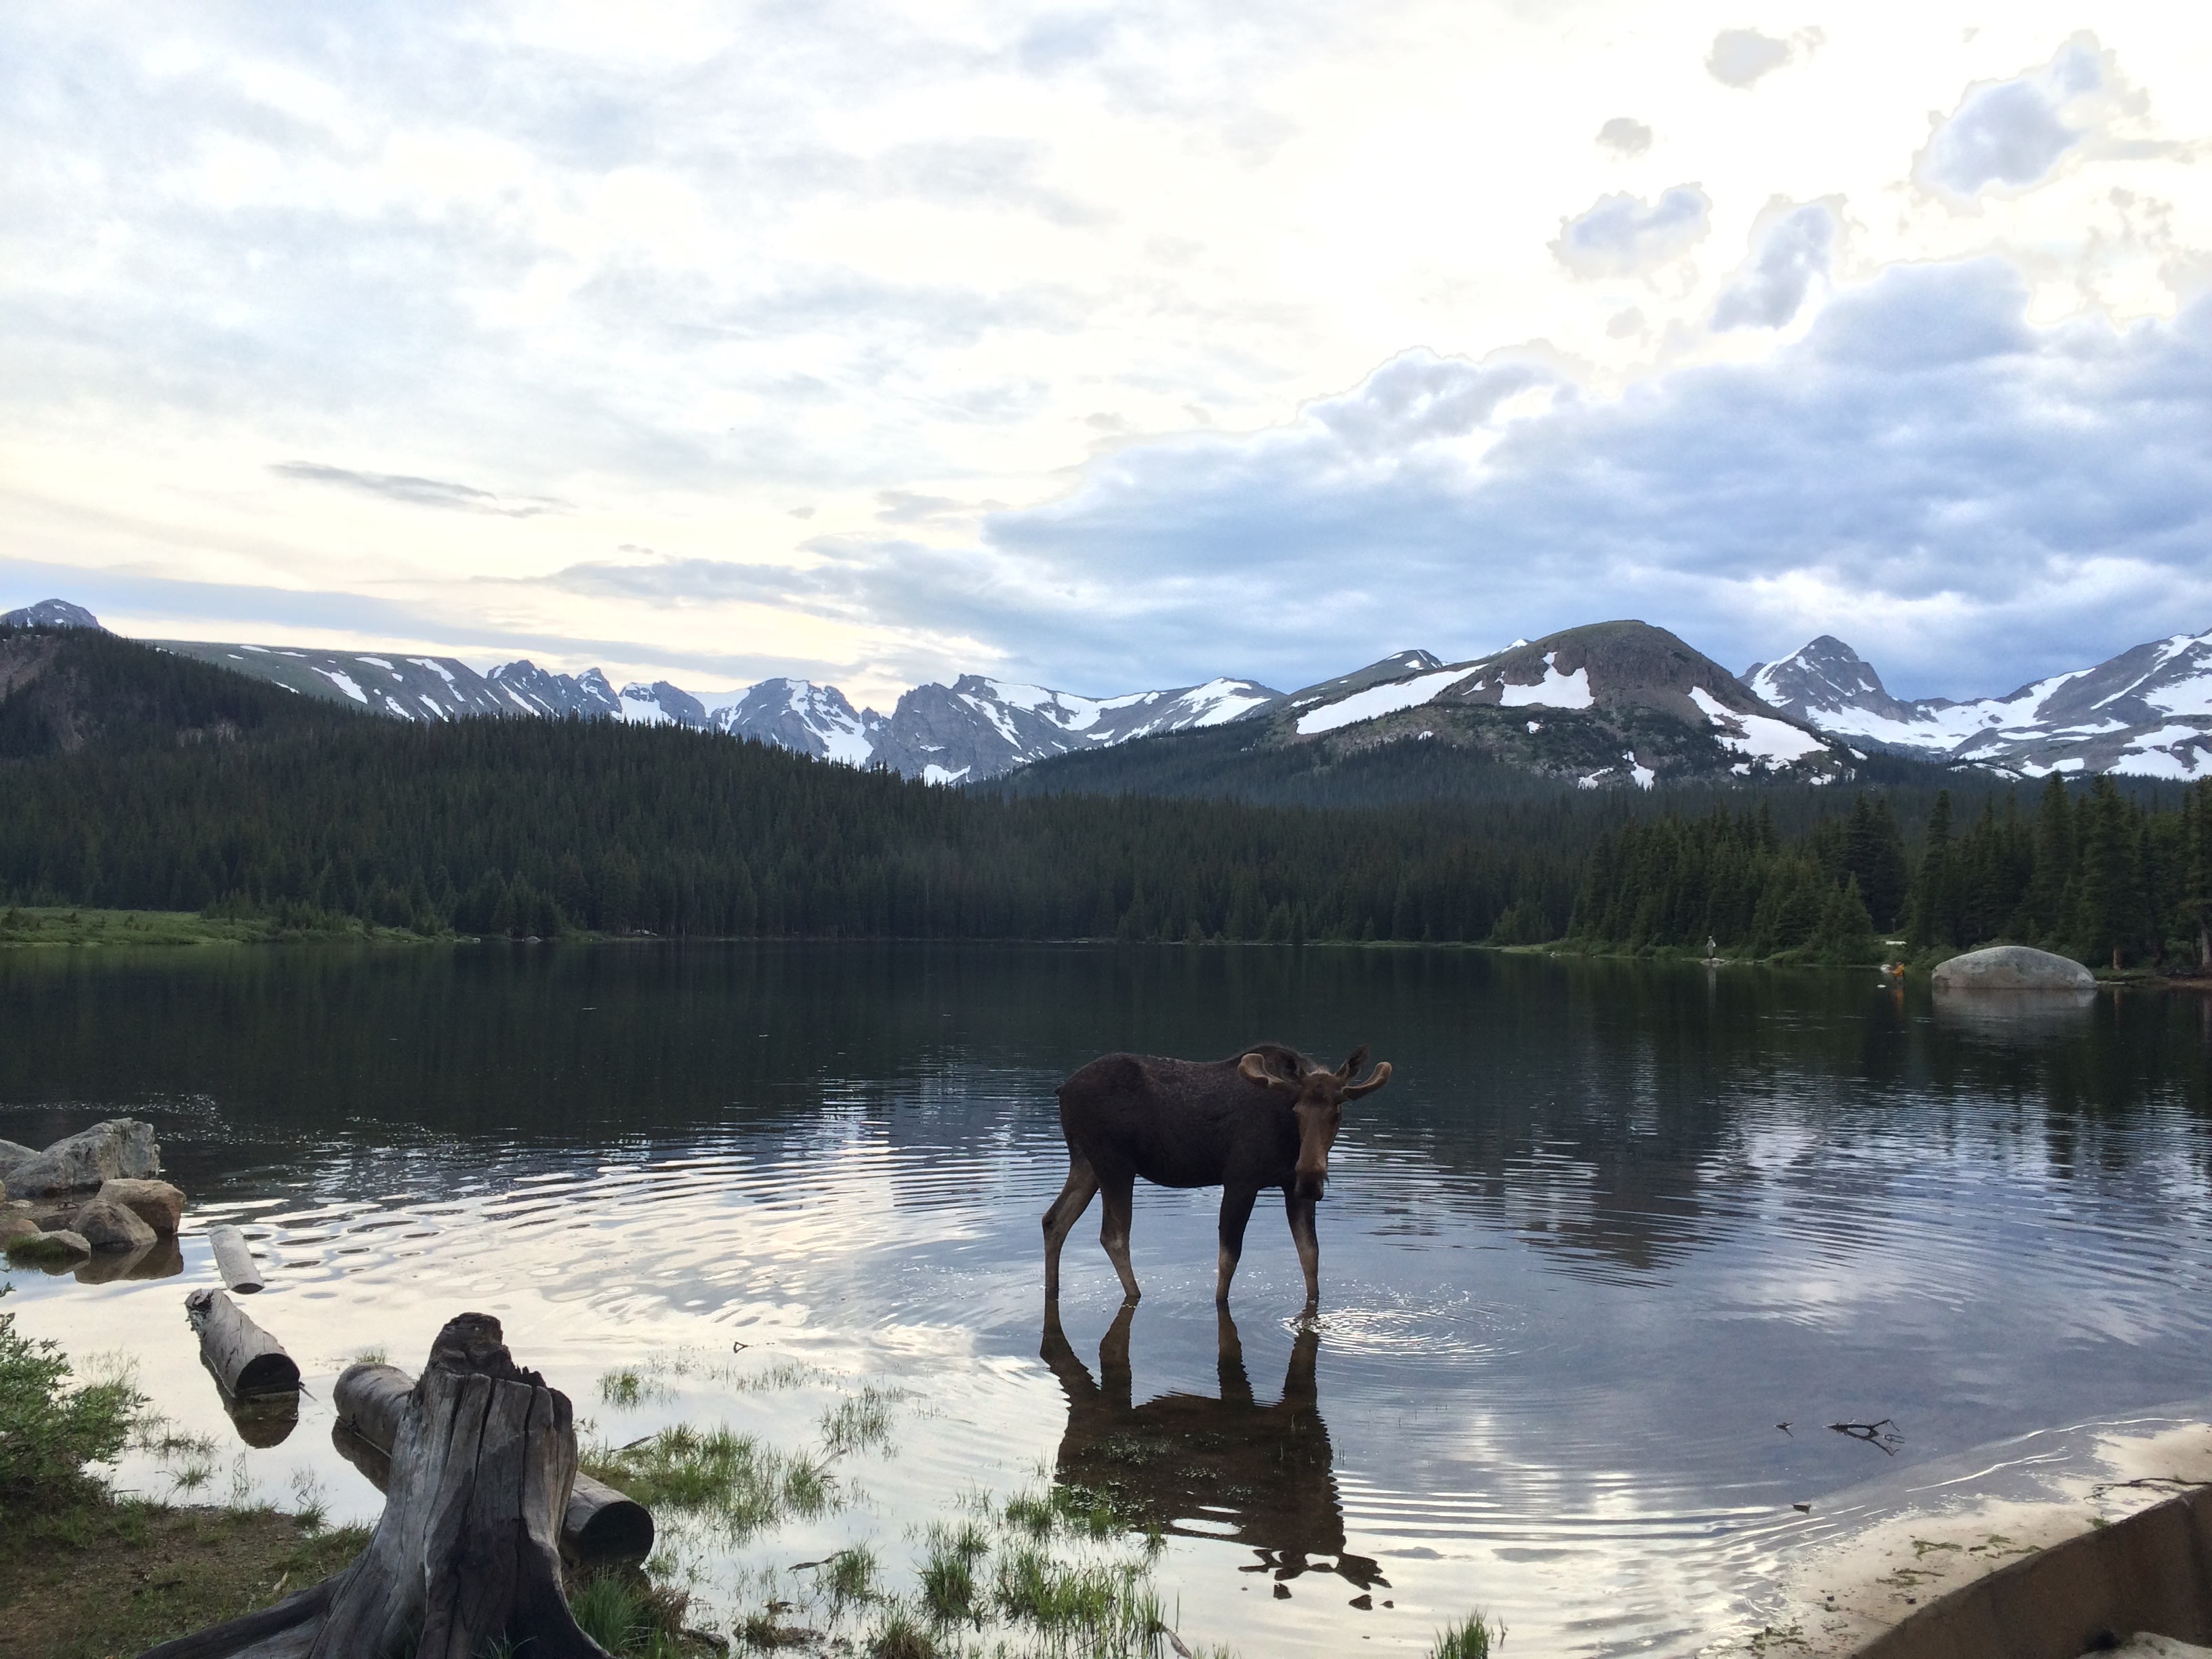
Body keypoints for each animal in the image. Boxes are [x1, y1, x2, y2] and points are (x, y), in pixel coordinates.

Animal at [1044, 1042, 1394, 1310]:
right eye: (1296, 1111)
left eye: (1338, 1112)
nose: (1310, 1178)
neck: (1289, 1143)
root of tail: (1062, 1090)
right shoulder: (1240, 1180)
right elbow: (1229, 1257)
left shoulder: (1290, 1188)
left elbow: (1311, 1256)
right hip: (1114, 1164)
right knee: (1114, 1235)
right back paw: (1136, 1294)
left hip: (1085, 1163)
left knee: (1054, 1220)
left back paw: (1053, 1288)